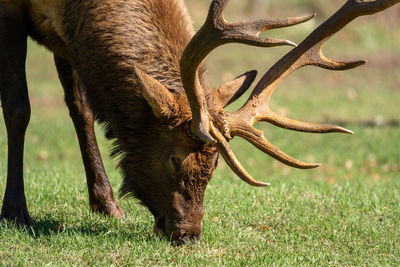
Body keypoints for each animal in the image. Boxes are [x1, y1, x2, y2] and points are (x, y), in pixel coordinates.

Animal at [0, 0, 398, 243]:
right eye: (175, 159)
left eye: (215, 164)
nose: (189, 234)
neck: (73, 6)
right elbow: (19, 109)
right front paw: (16, 213)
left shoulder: (65, 36)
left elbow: (80, 109)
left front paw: (107, 205)